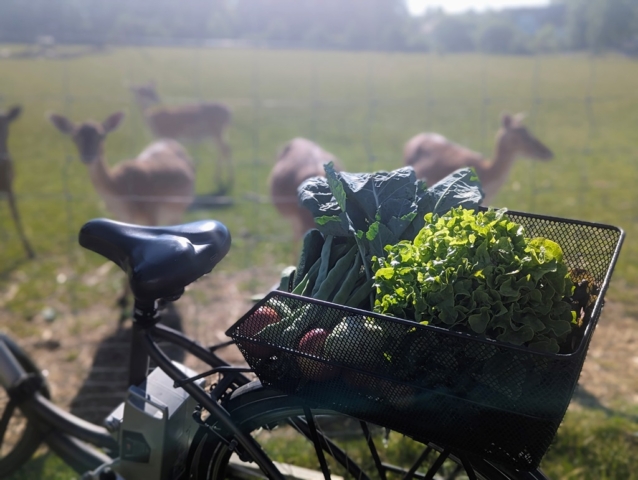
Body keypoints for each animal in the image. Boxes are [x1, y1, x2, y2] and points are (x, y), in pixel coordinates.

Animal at [48, 112, 195, 320]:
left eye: (101, 135)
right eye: (74, 136)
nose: (87, 156)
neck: (121, 193)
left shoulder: (150, 213)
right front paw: (121, 299)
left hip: (180, 205)